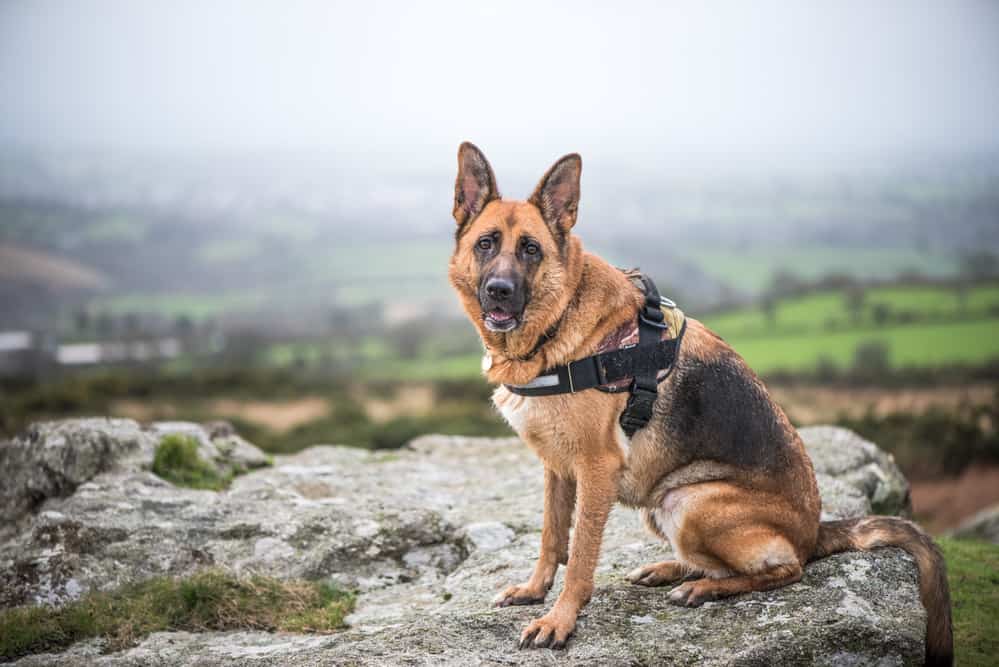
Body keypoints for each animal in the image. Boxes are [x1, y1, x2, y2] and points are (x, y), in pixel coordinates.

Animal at [450, 144, 956, 664]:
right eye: (486, 243)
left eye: (530, 249)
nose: (499, 291)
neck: (560, 320)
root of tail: (814, 532)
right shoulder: (558, 469)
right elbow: (552, 537)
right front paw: (534, 591)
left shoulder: (595, 470)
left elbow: (582, 556)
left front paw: (560, 620)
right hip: (662, 504)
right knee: (714, 563)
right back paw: (670, 570)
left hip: (689, 501)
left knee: (784, 569)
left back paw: (705, 588)